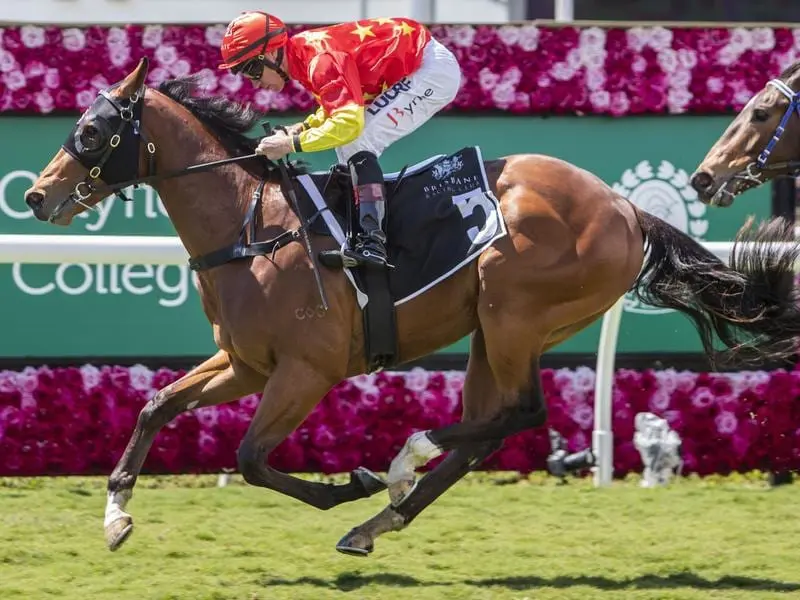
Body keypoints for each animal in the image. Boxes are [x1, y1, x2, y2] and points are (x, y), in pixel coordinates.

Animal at [23, 58, 800, 556]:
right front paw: (115, 517)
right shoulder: (245, 364)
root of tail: (624, 206)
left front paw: (354, 482)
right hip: (494, 328)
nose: (34, 195)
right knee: (488, 427)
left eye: (91, 132)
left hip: (515, 311)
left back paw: (400, 464)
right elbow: (156, 406)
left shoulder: (306, 370)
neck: (252, 229)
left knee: (520, 414)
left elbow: (249, 458)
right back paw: (377, 521)